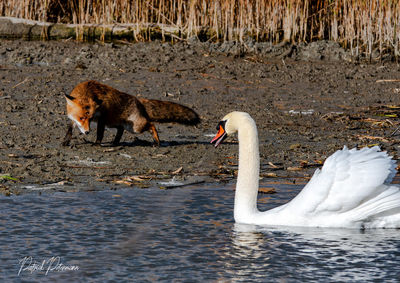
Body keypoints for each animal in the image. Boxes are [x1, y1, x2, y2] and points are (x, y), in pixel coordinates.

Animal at [62, 80, 200, 146]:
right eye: (82, 118)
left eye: (90, 119)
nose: (87, 132)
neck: (88, 91)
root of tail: (138, 100)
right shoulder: (76, 119)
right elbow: (70, 128)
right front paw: (66, 141)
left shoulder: (101, 118)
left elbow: (100, 133)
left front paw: (96, 144)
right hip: (115, 123)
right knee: (120, 129)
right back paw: (115, 142)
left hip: (135, 127)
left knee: (151, 124)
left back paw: (157, 141)